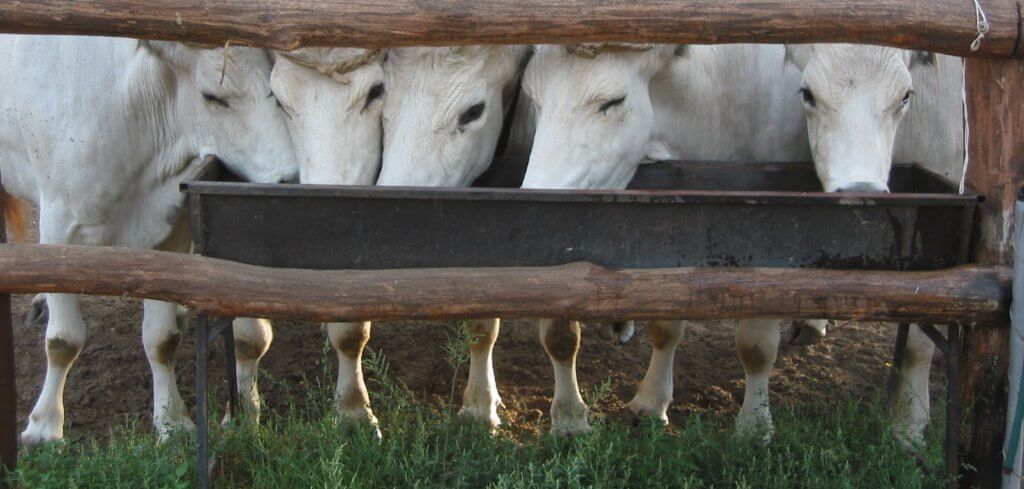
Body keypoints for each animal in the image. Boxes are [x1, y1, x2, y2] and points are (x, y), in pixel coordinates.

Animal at [0, 35, 296, 443]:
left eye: (275, 87)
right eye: (213, 97)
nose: (290, 177)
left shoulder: (168, 229)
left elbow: (161, 338)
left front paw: (171, 421)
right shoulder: (58, 224)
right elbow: (62, 340)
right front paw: (44, 427)